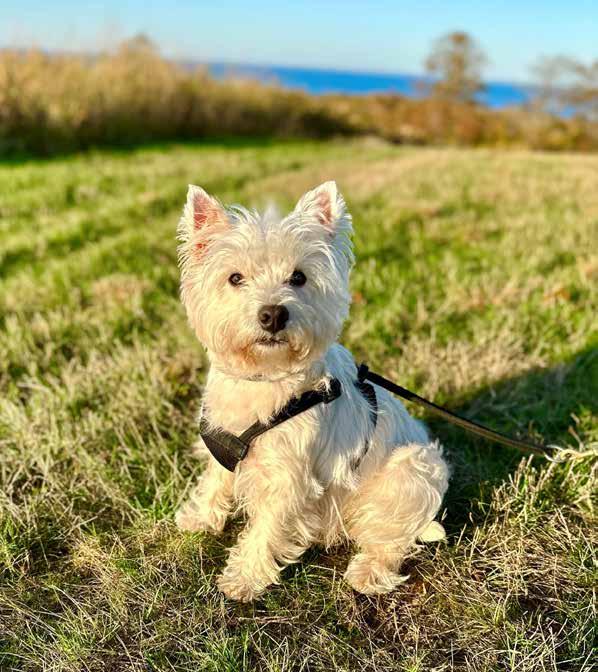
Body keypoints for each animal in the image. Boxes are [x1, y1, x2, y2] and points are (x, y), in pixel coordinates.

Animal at [175, 181, 449, 601]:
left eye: (299, 277)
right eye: (235, 278)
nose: (273, 314)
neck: (264, 379)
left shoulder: (287, 478)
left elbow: (266, 528)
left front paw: (244, 579)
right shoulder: (221, 447)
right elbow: (214, 484)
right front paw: (200, 518)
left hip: (413, 470)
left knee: (390, 539)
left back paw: (367, 573)